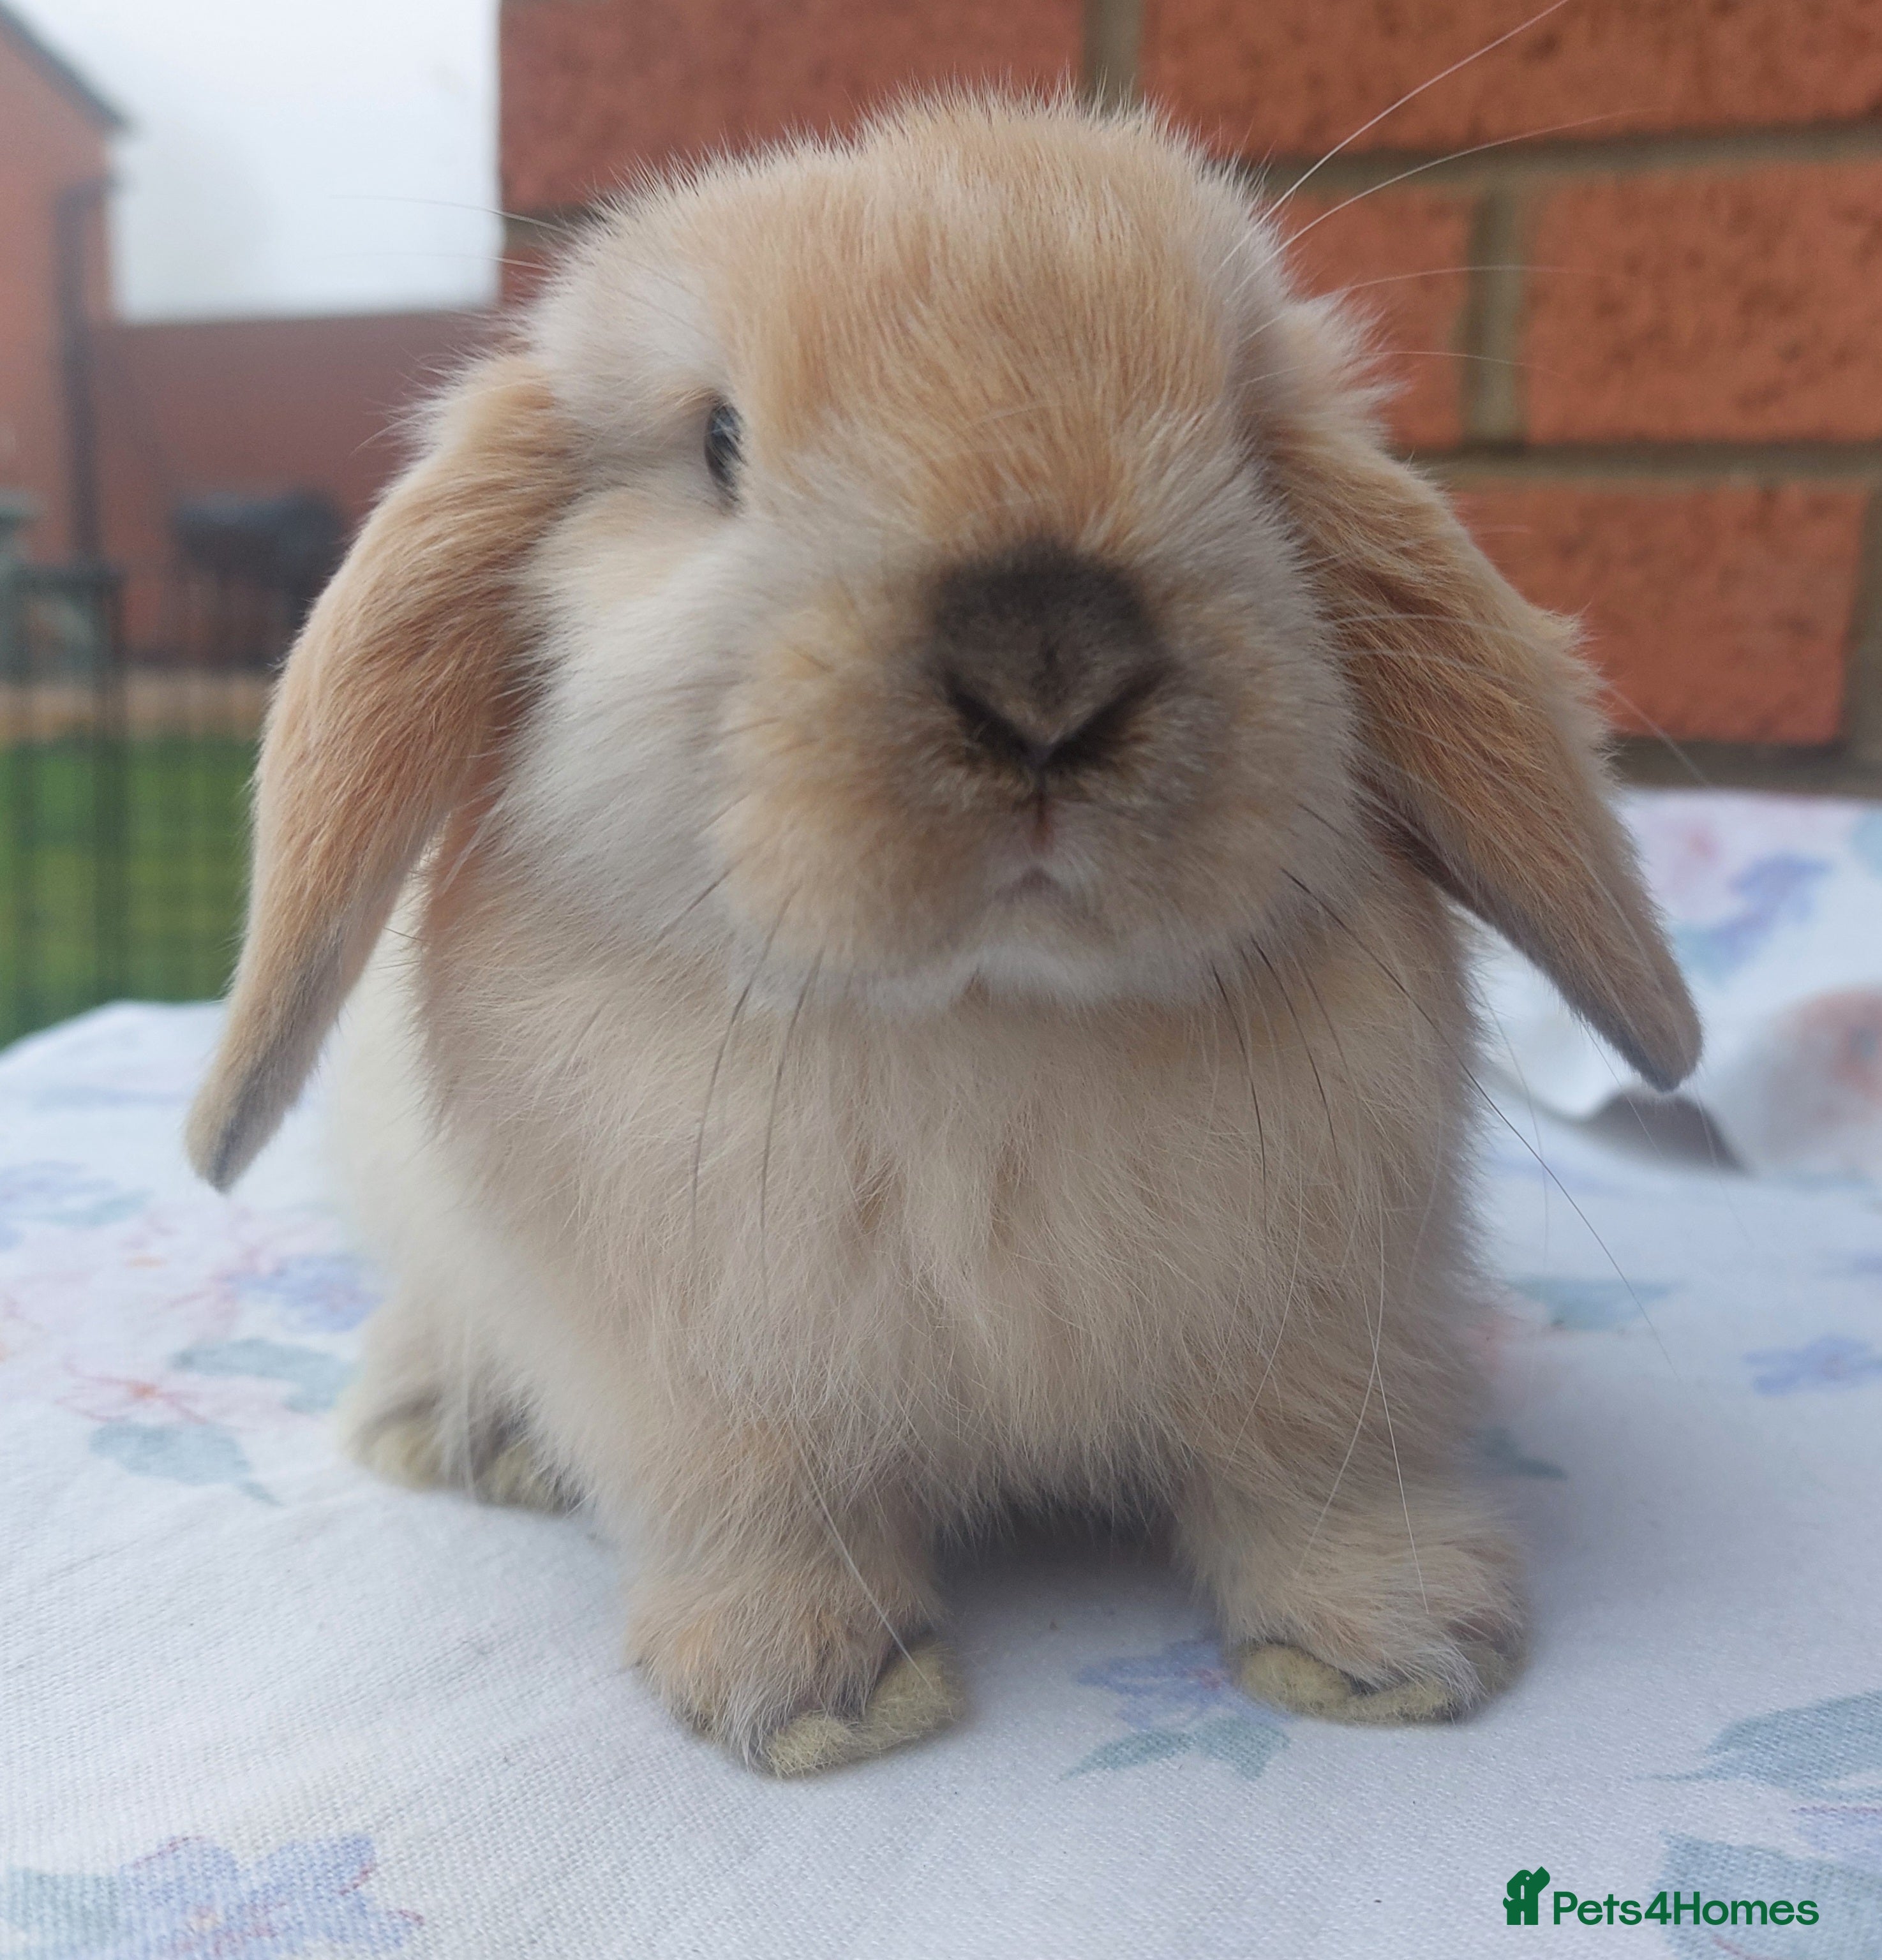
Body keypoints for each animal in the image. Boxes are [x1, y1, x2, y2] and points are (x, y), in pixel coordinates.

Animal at [185, 93, 1699, 1775]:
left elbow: (1316, 1476)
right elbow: (761, 1516)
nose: (1048, 662)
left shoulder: (1333, 1326)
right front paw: (808, 1694)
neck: (985, 1029)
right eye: (718, 444)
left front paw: (1403, 1643)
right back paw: (451, 1426)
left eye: (1246, 441)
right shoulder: (699, 1386)